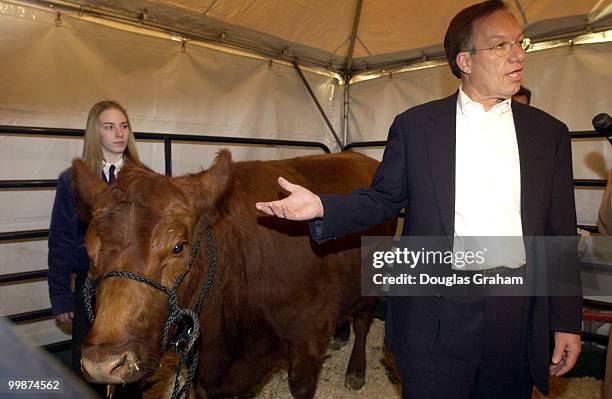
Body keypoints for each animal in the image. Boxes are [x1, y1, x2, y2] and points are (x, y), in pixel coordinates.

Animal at [74, 151, 394, 399]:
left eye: (178, 247)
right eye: (89, 250)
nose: (104, 362)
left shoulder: (309, 338)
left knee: (363, 321)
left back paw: (356, 370)